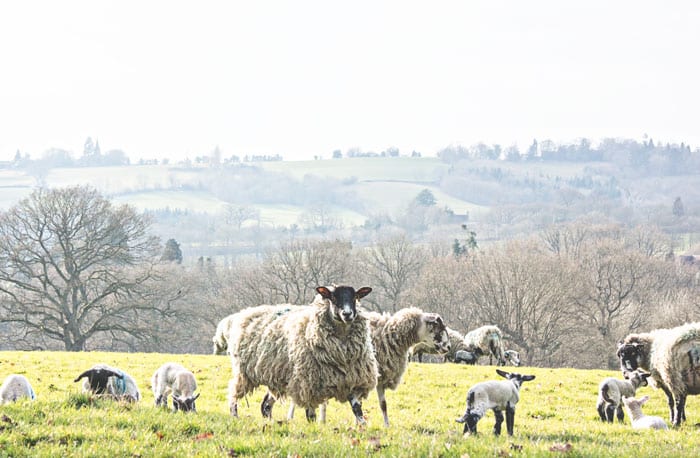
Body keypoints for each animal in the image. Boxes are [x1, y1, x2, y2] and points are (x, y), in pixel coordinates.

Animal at [227, 284, 378, 424]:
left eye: (355, 297)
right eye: (333, 298)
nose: (347, 314)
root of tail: (247, 313)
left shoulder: (352, 380)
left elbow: (357, 409)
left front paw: (363, 426)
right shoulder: (308, 384)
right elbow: (310, 414)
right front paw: (313, 428)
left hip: (276, 377)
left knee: (266, 404)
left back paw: (269, 422)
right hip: (243, 374)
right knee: (233, 393)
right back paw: (234, 416)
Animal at [276, 306, 452, 428]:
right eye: (439, 328)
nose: (448, 347)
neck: (388, 335)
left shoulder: (378, 377)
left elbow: (383, 405)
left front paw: (386, 425)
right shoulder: (360, 375)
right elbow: (358, 403)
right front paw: (359, 423)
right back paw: (292, 417)